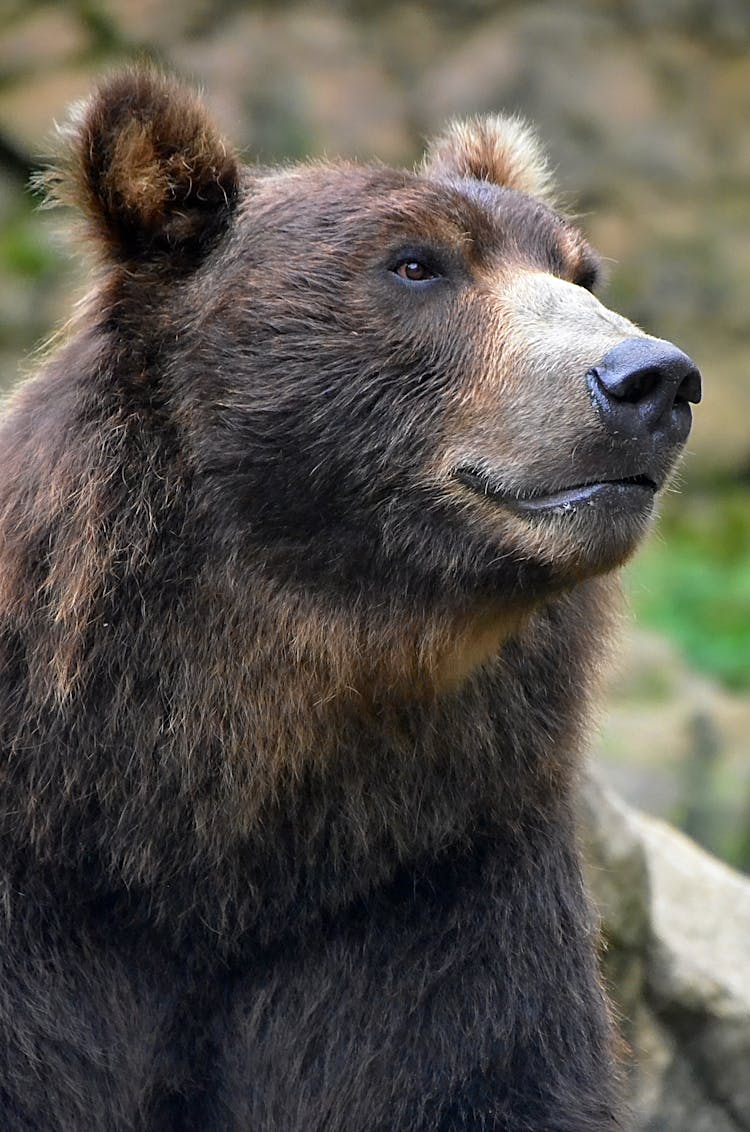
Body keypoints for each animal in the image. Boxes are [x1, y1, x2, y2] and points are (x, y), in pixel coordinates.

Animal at [0, 66, 701, 1127]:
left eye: (582, 273)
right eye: (416, 264)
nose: (651, 379)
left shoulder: (431, 890)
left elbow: (479, 1067)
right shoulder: (50, 900)